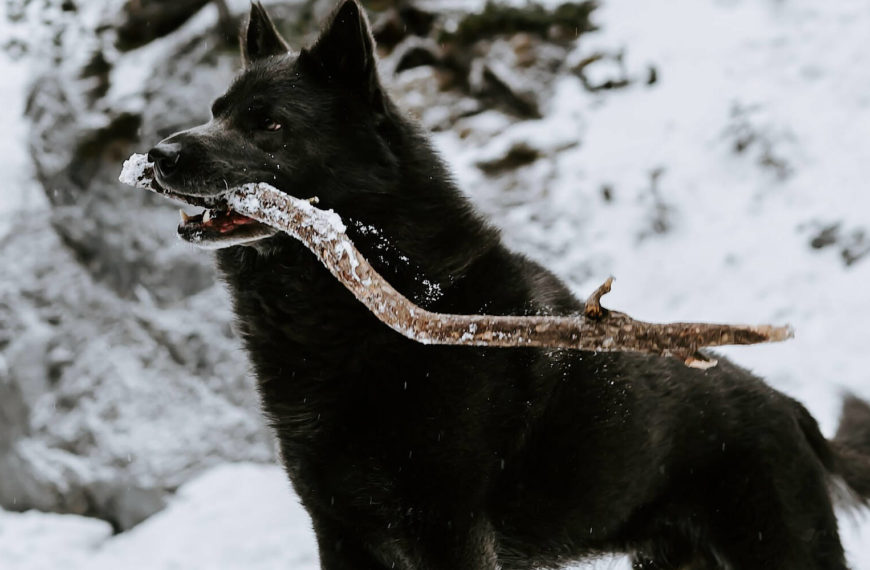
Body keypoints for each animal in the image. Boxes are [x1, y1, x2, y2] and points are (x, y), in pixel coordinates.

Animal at [150, 2, 870, 564]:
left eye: (270, 124)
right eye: (216, 111)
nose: (158, 154)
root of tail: (791, 410)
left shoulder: (449, 531)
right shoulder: (340, 532)